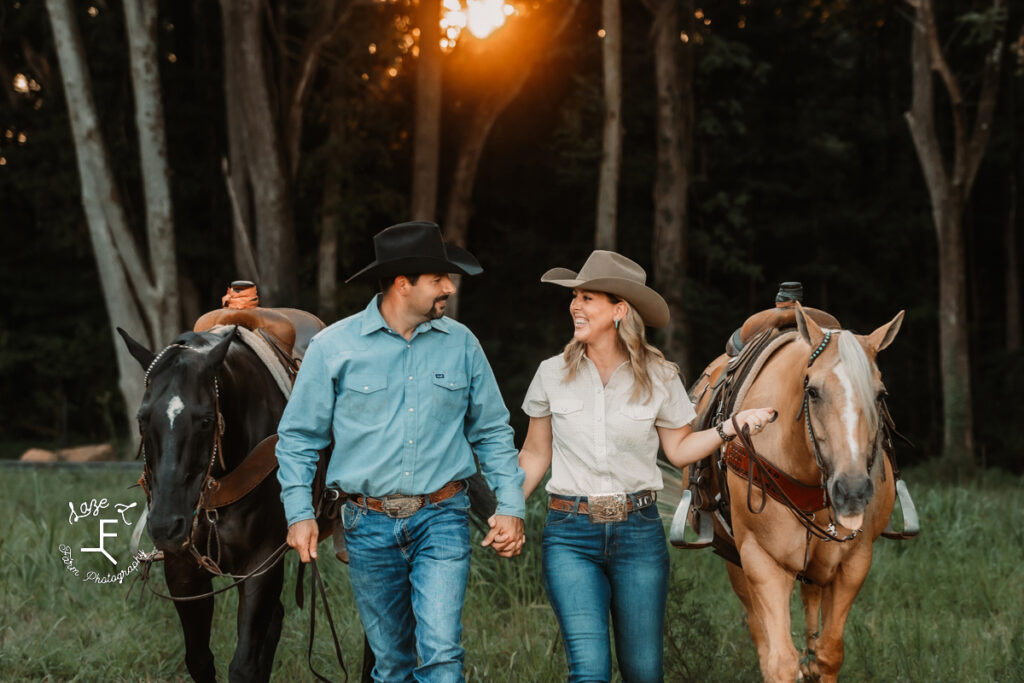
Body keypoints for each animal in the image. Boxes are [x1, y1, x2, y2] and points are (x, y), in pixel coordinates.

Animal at [120, 327, 296, 683]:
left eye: (205, 420)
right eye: (142, 419)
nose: (165, 526)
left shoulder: (262, 563)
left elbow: (244, 666)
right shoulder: (182, 568)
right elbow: (199, 660)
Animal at [684, 305, 901, 683]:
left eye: (880, 396)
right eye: (812, 391)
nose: (852, 491)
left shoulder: (854, 563)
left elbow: (828, 653)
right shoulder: (761, 560)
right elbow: (780, 661)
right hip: (736, 559)